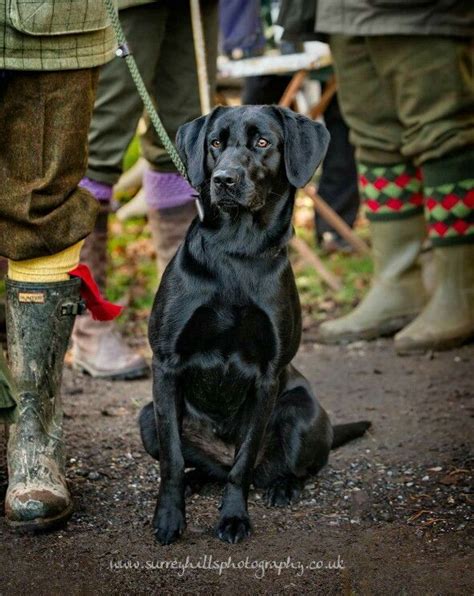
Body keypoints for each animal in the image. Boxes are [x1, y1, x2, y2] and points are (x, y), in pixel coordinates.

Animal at [141, 106, 370, 544]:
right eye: (215, 142)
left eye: (263, 142)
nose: (223, 179)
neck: (237, 249)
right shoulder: (165, 364)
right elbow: (172, 462)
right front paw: (169, 518)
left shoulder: (268, 375)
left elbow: (243, 463)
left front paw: (234, 518)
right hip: (148, 418)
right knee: (207, 467)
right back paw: (197, 479)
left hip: (301, 413)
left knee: (283, 468)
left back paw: (283, 486)